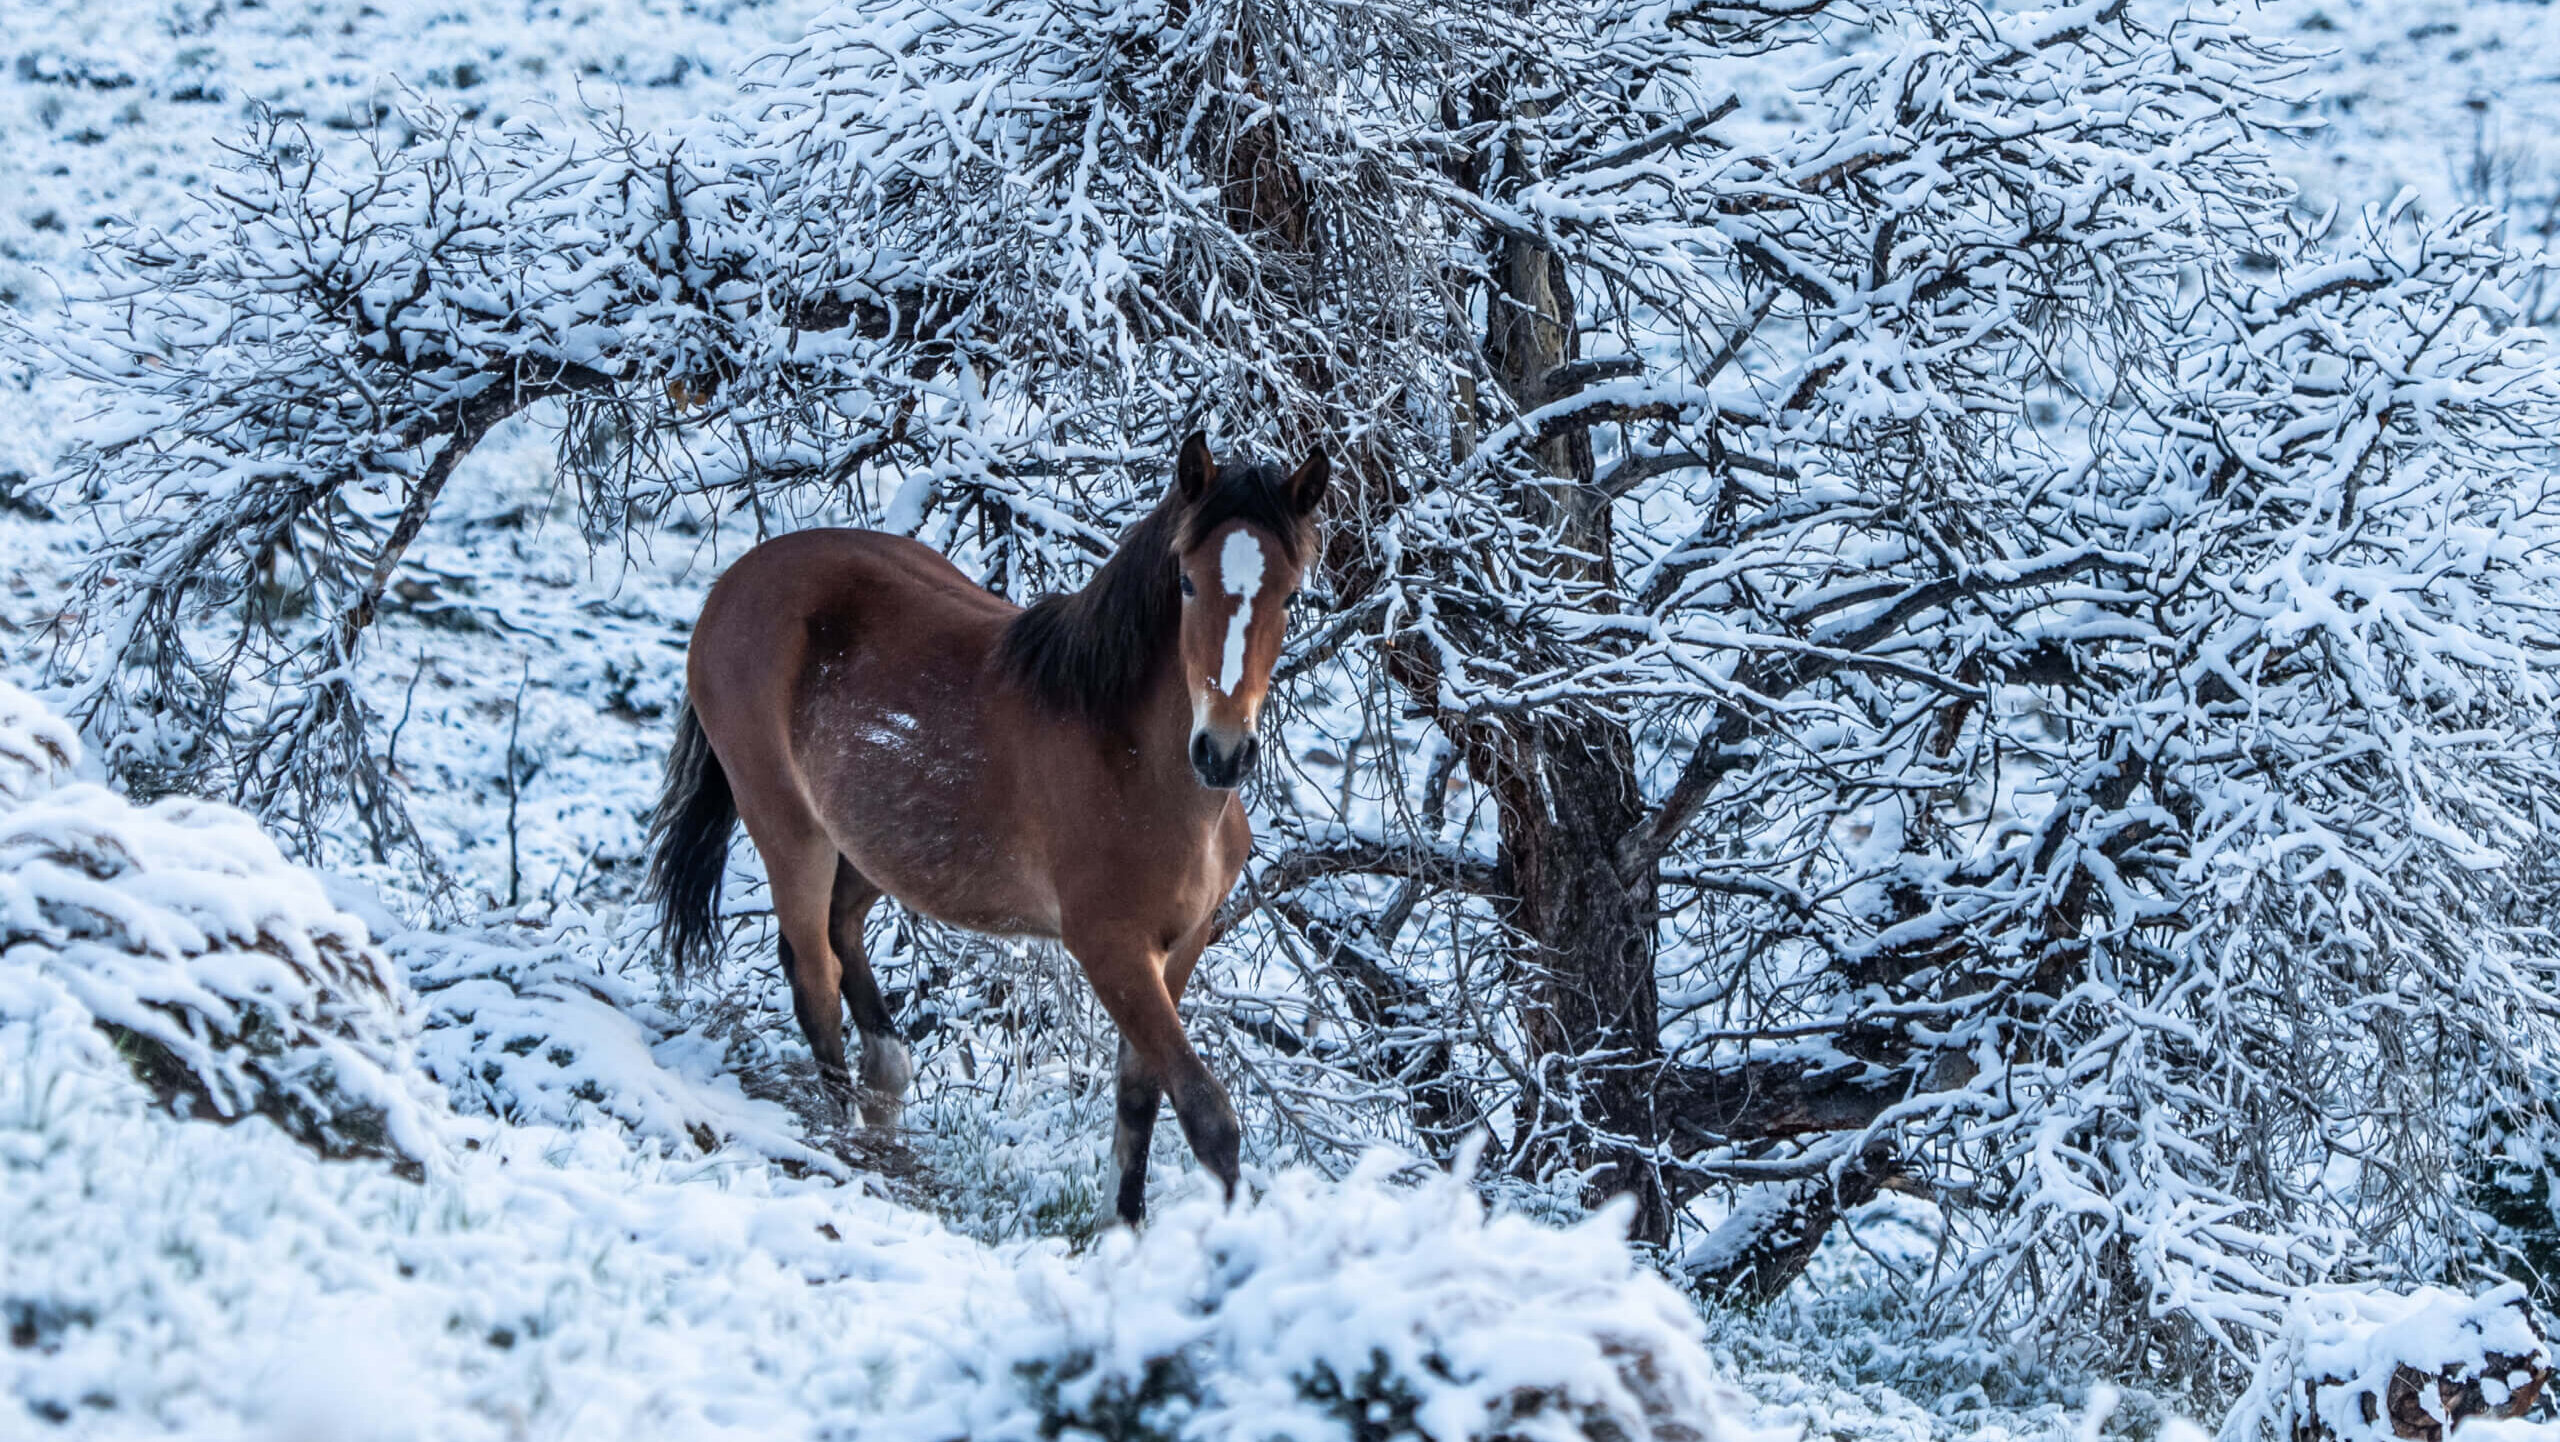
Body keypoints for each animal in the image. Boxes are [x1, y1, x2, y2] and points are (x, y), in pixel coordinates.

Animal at [644, 433, 1326, 1224]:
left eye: (1290, 594)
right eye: (1186, 583)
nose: (1223, 750)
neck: (1130, 757)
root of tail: (733, 584)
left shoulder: (1181, 946)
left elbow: (1139, 1098)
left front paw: (1123, 1228)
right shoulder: (1112, 949)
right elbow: (1206, 1113)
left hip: (874, 846)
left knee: (843, 941)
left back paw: (883, 1098)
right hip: (790, 829)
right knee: (813, 976)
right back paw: (842, 1142)